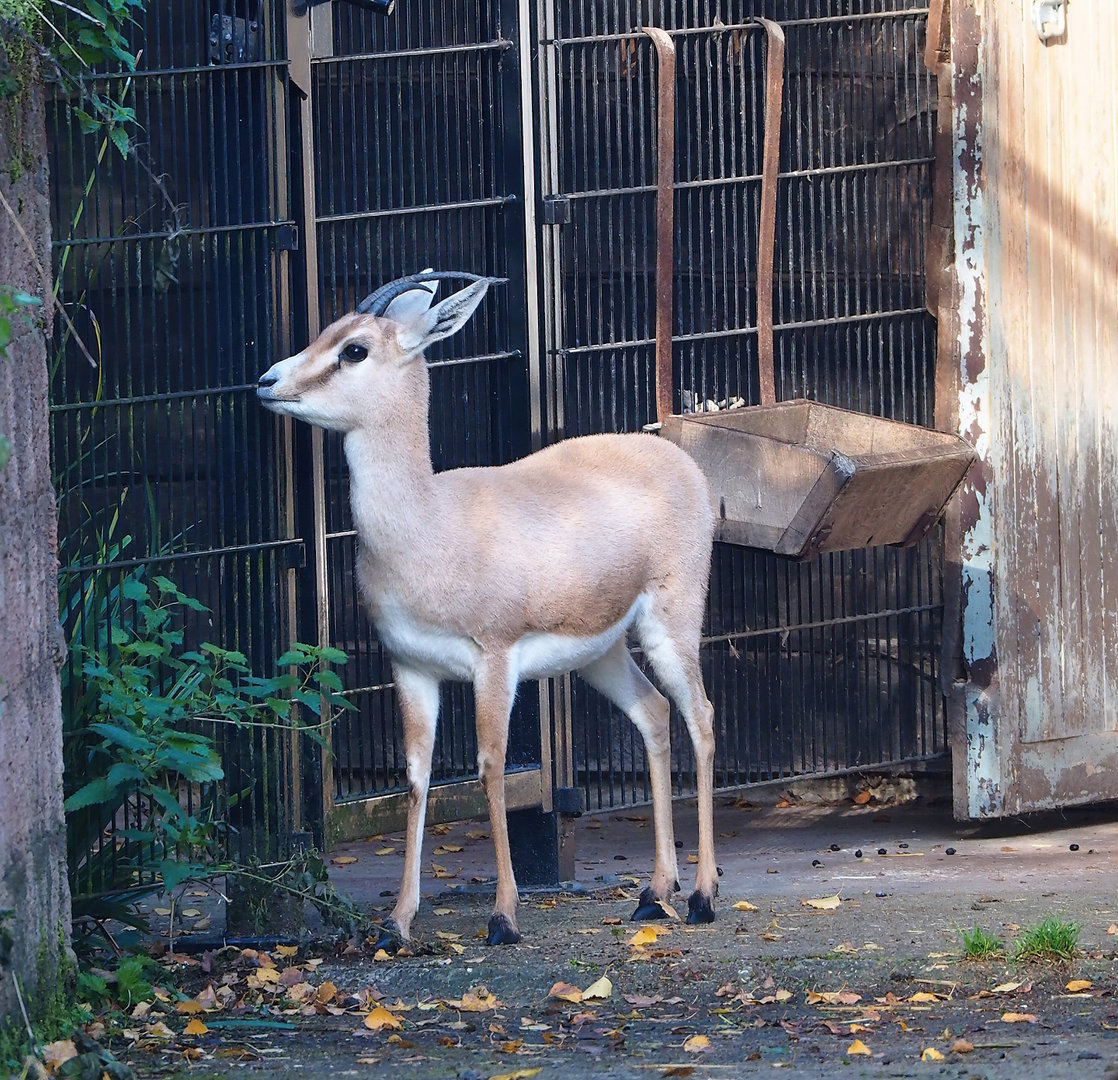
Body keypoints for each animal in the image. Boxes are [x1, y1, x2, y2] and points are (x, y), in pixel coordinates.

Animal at [257, 272, 718, 948]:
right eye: (326, 331)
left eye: (355, 349)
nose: (267, 381)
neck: (428, 526)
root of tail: (676, 458)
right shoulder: (411, 667)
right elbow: (416, 780)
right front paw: (397, 922)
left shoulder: (493, 660)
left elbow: (491, 768)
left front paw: (503, 916)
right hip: (601, 652)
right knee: (655, 714)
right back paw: (654, 895)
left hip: (671, 624)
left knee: (701, 718)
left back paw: (705, 896)